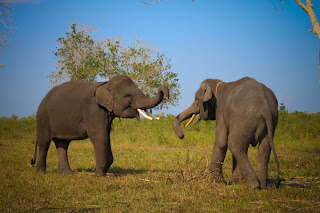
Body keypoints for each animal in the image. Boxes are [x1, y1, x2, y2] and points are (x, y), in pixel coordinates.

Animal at [31, 75, 169, 176]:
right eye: (128, 95)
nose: (166, 95)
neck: (105, 84)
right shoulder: (93, 111)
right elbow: (99, 136)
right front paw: (98, 175)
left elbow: (106, 136)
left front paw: (100, 172)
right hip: (43, 118)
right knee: (44, 143)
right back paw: (42, 174)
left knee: (63, 144)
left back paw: (67, 174)